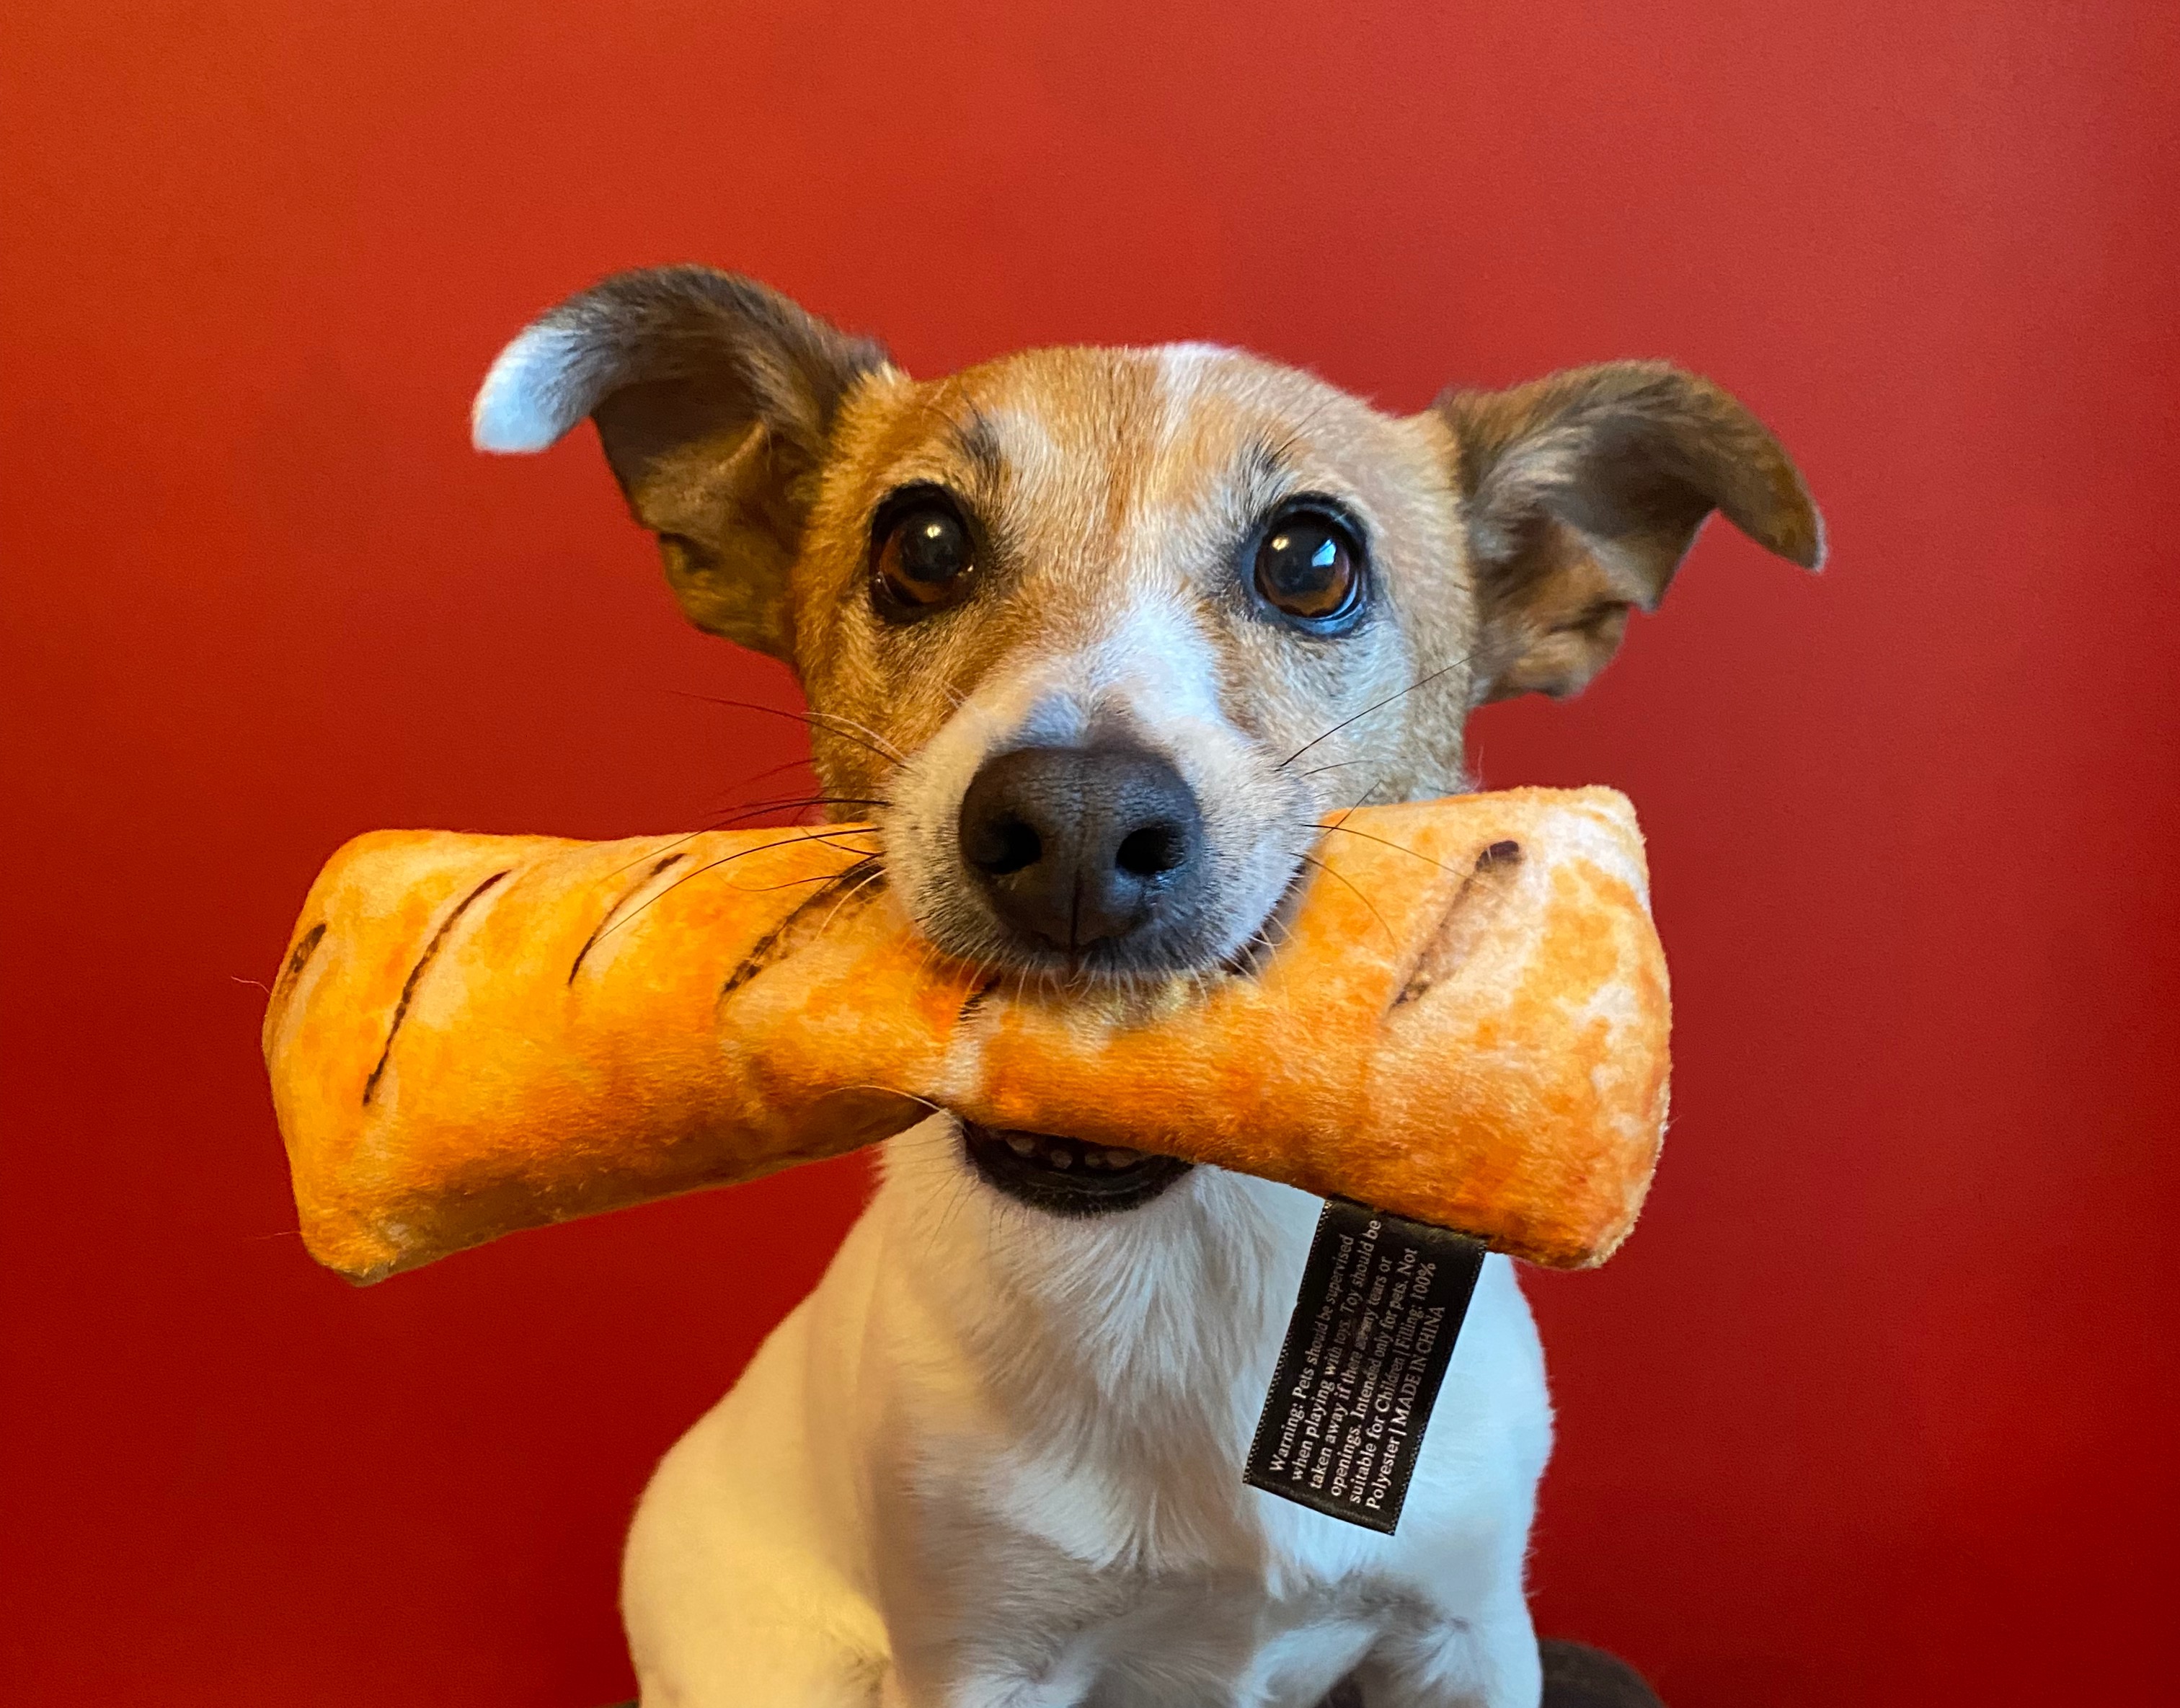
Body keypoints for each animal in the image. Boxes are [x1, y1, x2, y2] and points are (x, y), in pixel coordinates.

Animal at [473, 267, 1822, 1708]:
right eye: (922, 544)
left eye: (1311, 561)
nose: (1074, 827)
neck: (1181, 1266)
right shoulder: (981, 1658)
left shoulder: (1462, 1637)